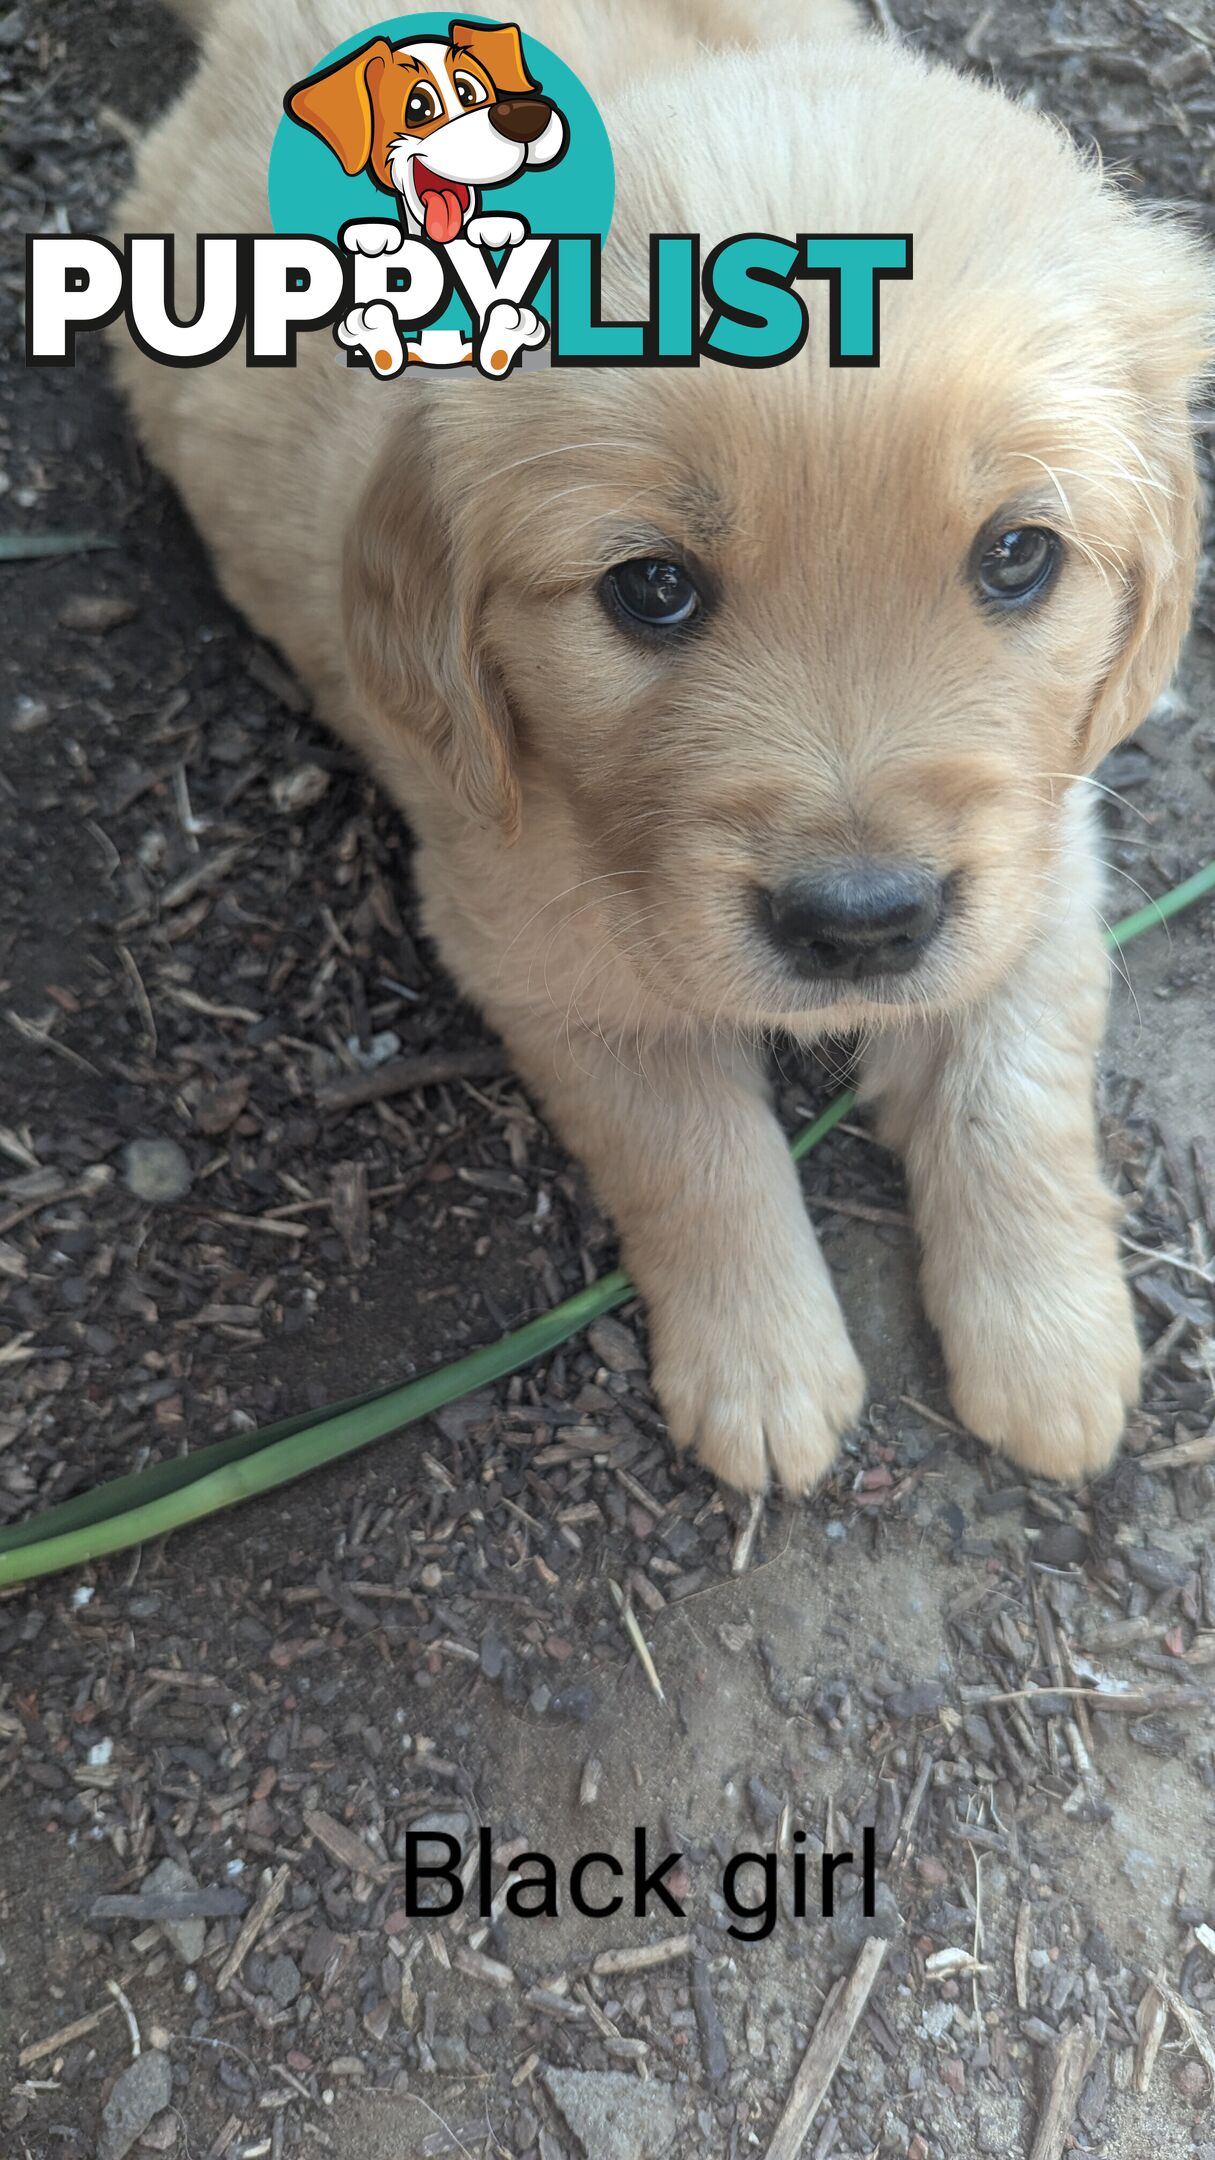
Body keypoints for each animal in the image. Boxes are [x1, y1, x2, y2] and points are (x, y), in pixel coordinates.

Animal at [111, 0, 1202, 1494]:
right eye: (651, 588)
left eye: (1017, 556)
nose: (861, 926)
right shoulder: (527, 938)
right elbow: (690, 1148)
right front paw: (765, 1369)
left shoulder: (1046, 841)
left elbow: (1018, 1075)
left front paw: (1053, 1342)